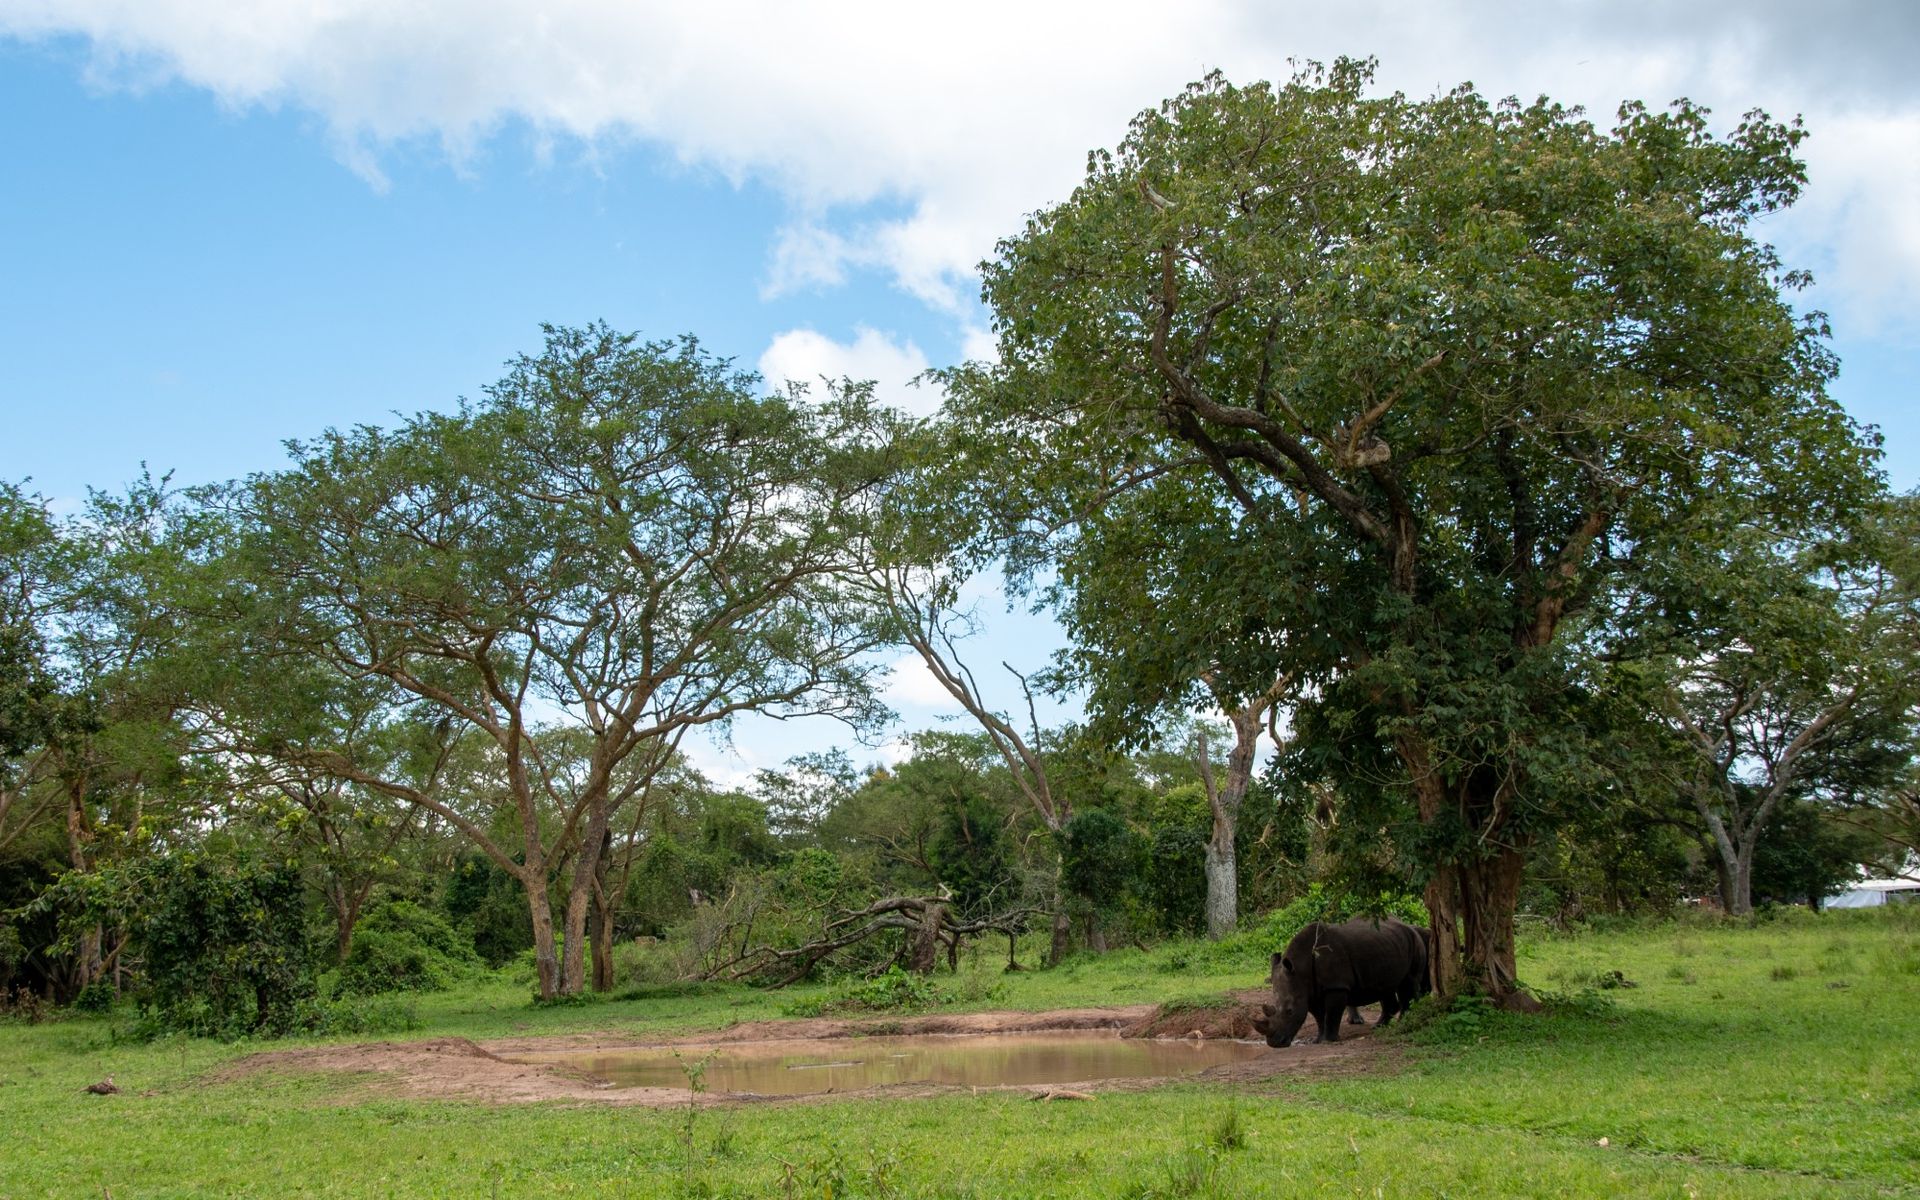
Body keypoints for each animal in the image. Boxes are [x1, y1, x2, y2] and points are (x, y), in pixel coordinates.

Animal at [1251, 917, 1430, 1048]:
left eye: (1289, 1011)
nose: (1274, 1043)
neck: (1300, 969)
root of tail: (1410, 927)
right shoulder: (1310, 990)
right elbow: (1319, 1016)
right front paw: (1318, 1040)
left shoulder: (1336, 986)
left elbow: (1332, 1013)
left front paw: (1328, 1040)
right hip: (1389, 946)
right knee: (1386, 987)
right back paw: (1379, 1026)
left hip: (1414, 942)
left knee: (1409, 983)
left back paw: (1404, 1022)